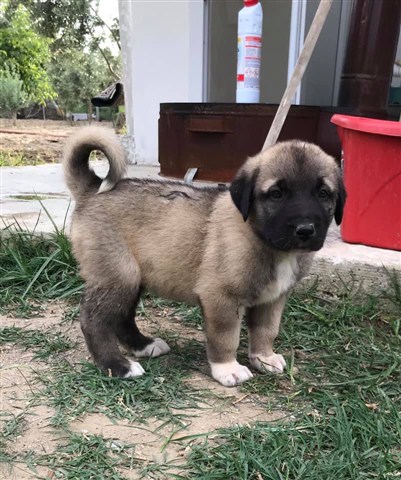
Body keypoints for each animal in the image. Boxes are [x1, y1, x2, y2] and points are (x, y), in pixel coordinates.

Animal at [63, 126, 344, 386]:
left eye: (323, 193)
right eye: (276, 194)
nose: (305, 230)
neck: (261, 238)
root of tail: (92, 189)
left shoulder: (273, 299)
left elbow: (266, 330)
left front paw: (263, 357)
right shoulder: (221, 298)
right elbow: (226, 337)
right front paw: (228, 368)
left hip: (133, 278)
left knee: (122, 316)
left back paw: (143, 345)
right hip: (118, 275)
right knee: (93, 321)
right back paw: (117, 366)